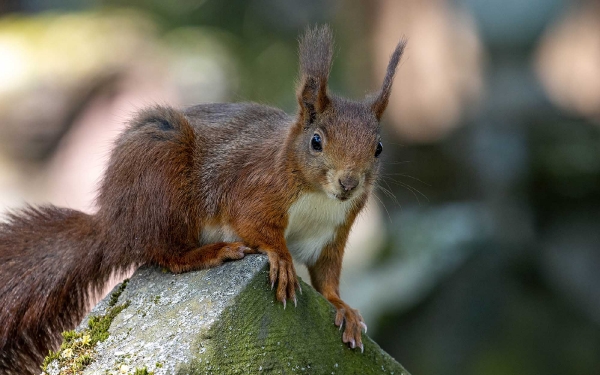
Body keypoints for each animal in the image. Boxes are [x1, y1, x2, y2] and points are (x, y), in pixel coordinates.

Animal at [0, 25, 406, 374]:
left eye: (379, 148)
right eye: (317, 141)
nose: (348, 183)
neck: (318, 197)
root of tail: (112, 223)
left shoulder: (333, 232)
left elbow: (326, 277)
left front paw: (343, 307)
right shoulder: (254, 188)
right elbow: (254, 225)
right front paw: (281, 258)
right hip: (161, 179)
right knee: (165, 252)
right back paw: (211, 252)